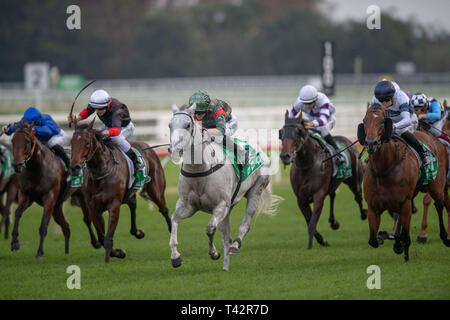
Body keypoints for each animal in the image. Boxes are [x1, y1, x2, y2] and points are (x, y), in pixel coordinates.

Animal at [9, 119, 70, 258]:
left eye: (27, 141)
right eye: (13, 140)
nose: (17, 165)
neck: (37, 168)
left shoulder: (50, 197)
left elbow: (43, 226)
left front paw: (39, 252)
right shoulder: (26, 195)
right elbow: (18, 213)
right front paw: (14, 243)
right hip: (57, 207)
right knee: (66, 227)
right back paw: (66, 253)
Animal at [71, 118, 171, 262]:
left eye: (87, 143)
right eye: (72, 142)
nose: (74, 167)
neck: (102, 172)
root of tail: (148, 147)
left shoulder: (114, 205)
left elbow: (108, 236)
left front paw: (117, 253)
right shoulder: (94, 208)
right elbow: (102, 237)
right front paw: (116, 252)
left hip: (156, 190)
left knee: (164, 209)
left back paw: (172, 230)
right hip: (129, 194)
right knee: (133, 205)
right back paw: (137, 232)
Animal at [169, 104, 282, 272]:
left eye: (187, 125)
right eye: (170, 125)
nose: (173, 150)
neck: (200, 170)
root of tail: (261, 151)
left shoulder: (221, 205)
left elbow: (210, 229)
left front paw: (214, 253)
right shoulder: (187, 206)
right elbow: (174, 220)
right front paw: (176, 257)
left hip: (256, 191)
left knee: (244, 225)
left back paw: (235, 246)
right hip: (229, 207)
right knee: (226, 236)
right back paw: (226, 265)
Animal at [280, 111, 368, 249]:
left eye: (299, 131)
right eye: (281, 132)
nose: (285, 156)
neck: (307, 164)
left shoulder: (318, 194)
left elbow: (312, 222)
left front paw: (313, 244)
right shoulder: (301, 199)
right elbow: (309, 220)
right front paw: (321, 240)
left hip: (354, 180)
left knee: (358, 196)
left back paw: (364, 214)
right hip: (334, 183)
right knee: (333, 195)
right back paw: (333, 222)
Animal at [360, 104, 450, 262]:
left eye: (382, 121)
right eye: (365, 121)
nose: (371, 143)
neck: (384, 169)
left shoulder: (405, 202)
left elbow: (406, 235)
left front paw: (404, 250)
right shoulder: (373, 207)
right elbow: (373, 240)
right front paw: (390, 238)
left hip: (436, 187)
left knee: (439, 205)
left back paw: (445, 237)